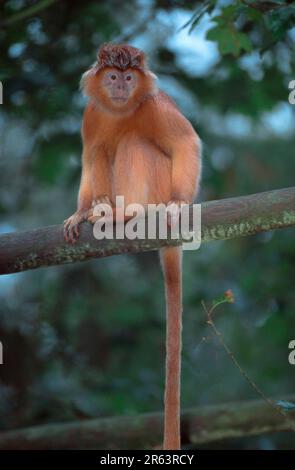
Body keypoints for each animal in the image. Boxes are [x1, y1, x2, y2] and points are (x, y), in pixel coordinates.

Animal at [63, 45, 202, 452]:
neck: (122, 110)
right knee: (103, 150)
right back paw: (99, 210)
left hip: (157, 186)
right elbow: (90, 153)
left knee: (132, 144)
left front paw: (180, 204)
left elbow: (185, 143)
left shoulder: (156, 104)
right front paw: (80, 212)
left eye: (128, 77)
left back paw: (130, 212)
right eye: (113, 77)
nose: (122, 85)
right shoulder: (91, 115)